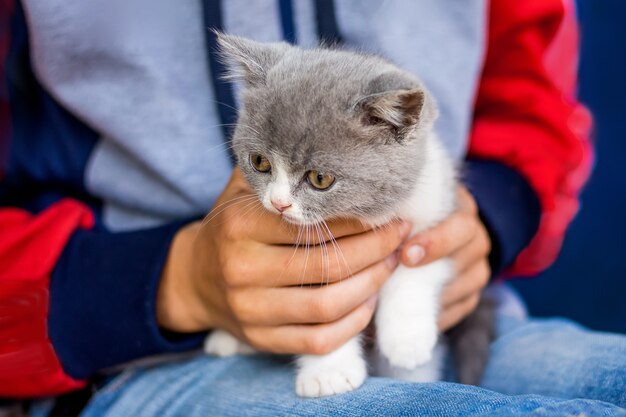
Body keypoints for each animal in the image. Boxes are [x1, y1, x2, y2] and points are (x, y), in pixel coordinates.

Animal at [205, 33, 492, 396]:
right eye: (259, 162)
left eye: (320, 179)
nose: (279, 203)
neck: (362, 215)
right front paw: (328, 373)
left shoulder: (436, 204)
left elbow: (416, 266)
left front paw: (407, 341)